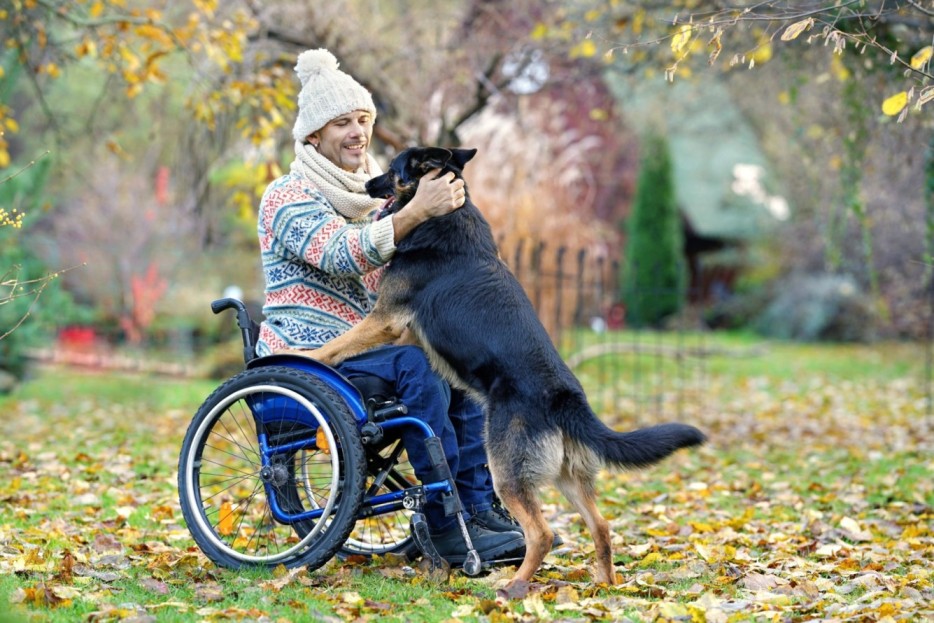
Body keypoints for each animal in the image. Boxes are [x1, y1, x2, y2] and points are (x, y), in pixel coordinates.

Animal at [304, 146, 704, 588]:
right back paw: (604, 584)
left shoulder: (386, 320)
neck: (445, 215)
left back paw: (513, 587)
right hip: (566, 475)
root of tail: (566, 399)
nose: (366, 185)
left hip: (507, 470)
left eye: (391, 172)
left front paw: (298, 357)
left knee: (541, 533)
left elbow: (335, 347)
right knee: (600, 526)